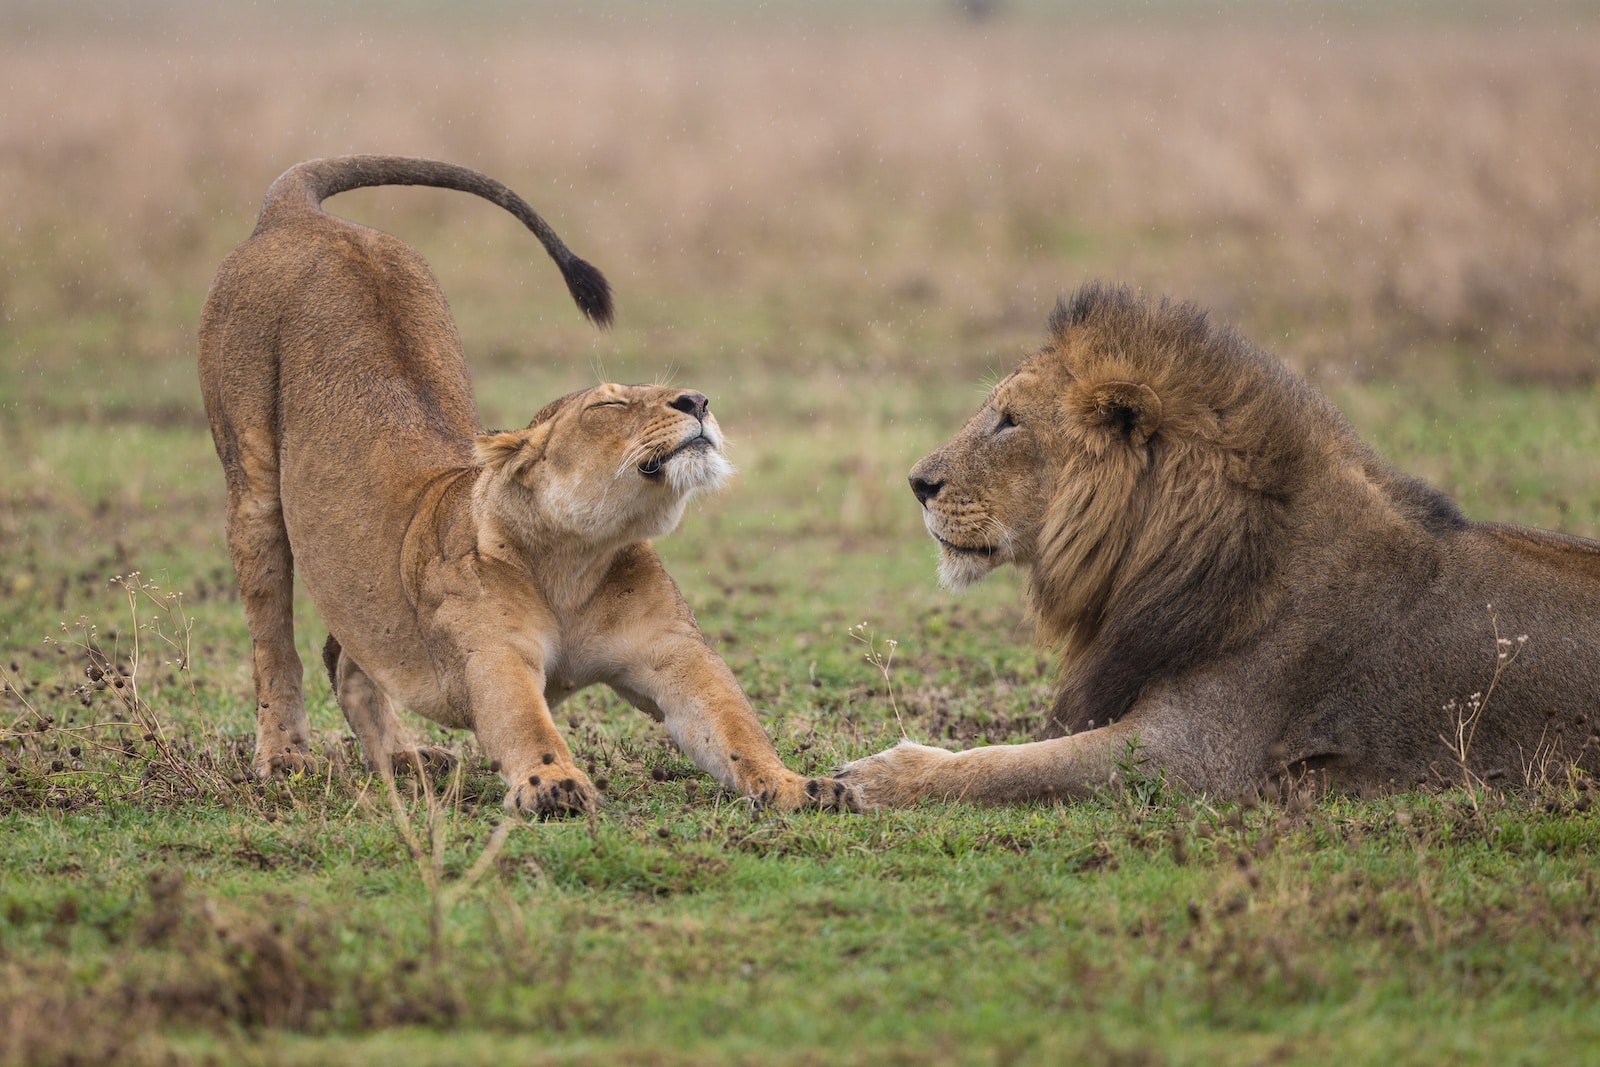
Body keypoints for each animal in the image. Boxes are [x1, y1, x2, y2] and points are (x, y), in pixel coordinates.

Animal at [198, 155, 856, 816]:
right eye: (610, 403)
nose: (697, 400)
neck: (576, 561)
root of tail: (300, 215)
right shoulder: (493, 656)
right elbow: (524, 722)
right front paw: (553, 782)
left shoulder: (675, 655)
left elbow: (734, 726)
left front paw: (799, 783)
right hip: (252, 488)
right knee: (274, 644)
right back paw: (285, 758)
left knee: (346, 657)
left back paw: (405, 759)